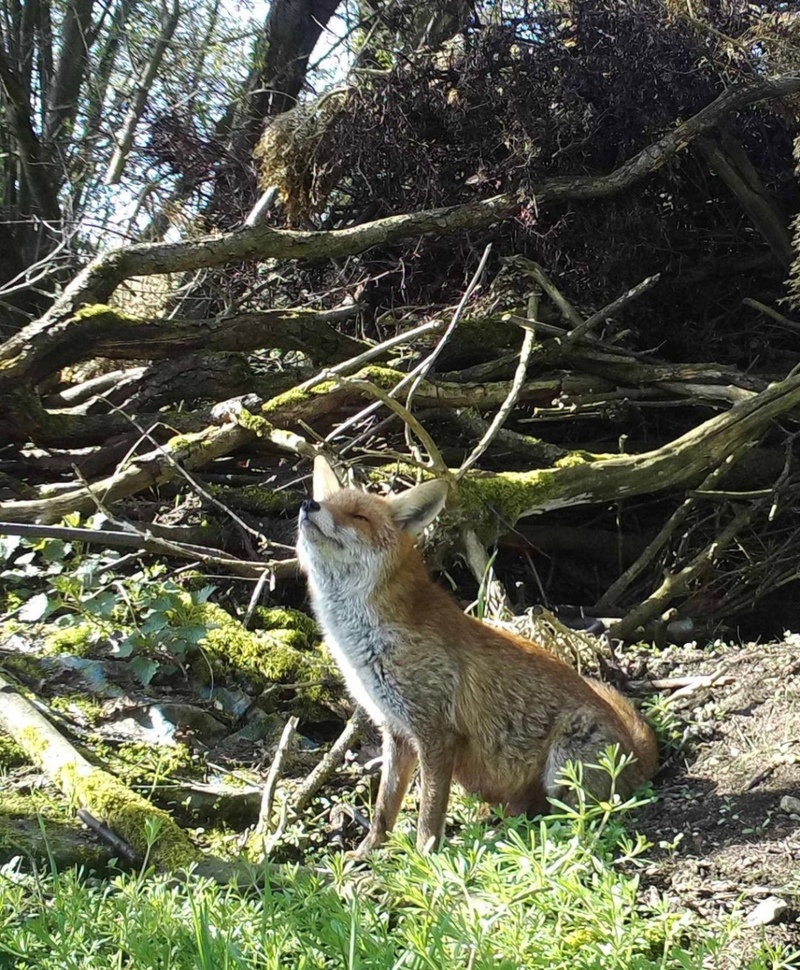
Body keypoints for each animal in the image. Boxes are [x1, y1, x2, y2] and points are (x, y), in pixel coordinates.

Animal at [296, 456, 660, 856]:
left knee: (563, 820)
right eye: (328, 503)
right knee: (527, 811)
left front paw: (424, 859)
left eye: (359, 516)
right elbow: (384, 809)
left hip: (566, 761)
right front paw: (368, 853)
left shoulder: (436, 733)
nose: (309, 505)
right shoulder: (397, 731)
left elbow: (428, 816)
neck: (363, 643)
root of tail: (642, 756)